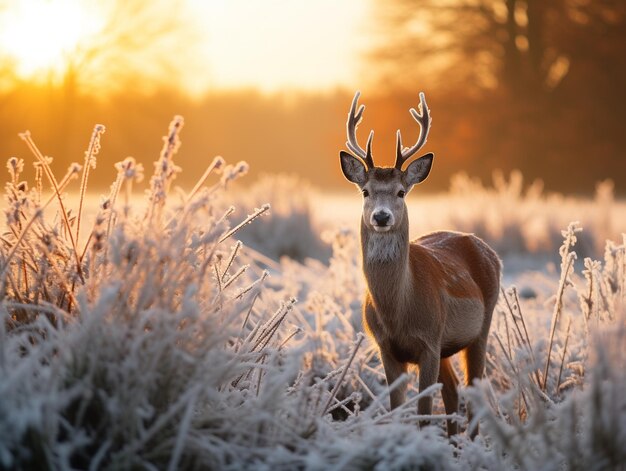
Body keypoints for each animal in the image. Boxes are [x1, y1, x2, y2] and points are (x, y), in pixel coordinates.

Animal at [338, 90, 500, 436]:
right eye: (365, 191)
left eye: (401, 192)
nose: (381, 216)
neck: (399, 311)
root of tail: (488, 250)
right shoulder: (386, 347)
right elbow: (397, 409)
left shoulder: (429, 340)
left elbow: (424, 412)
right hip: (447, 346)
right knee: (453, 390)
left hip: (482, 326)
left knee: (473, 390)